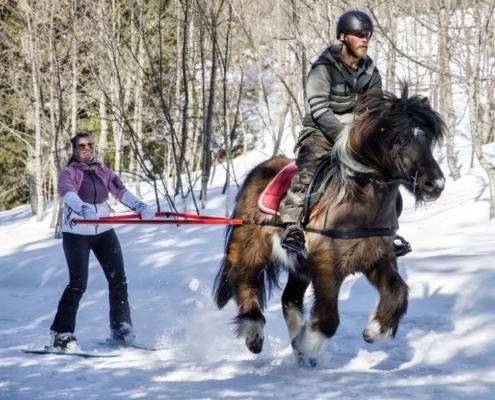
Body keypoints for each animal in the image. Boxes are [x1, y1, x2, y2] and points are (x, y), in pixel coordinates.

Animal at [213, 84, 450, 366]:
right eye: (401, 140)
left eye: (429, 141)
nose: (435, 185)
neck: (358, 206)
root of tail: (258, 170)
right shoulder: (326, 265)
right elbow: (328, 318)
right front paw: (308, 345)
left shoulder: (377, 257)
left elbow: (398, 292)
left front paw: (375, 331)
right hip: (250, 248)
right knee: (246, 283)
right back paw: (254, 334)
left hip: (298, 266)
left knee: (289, 300)